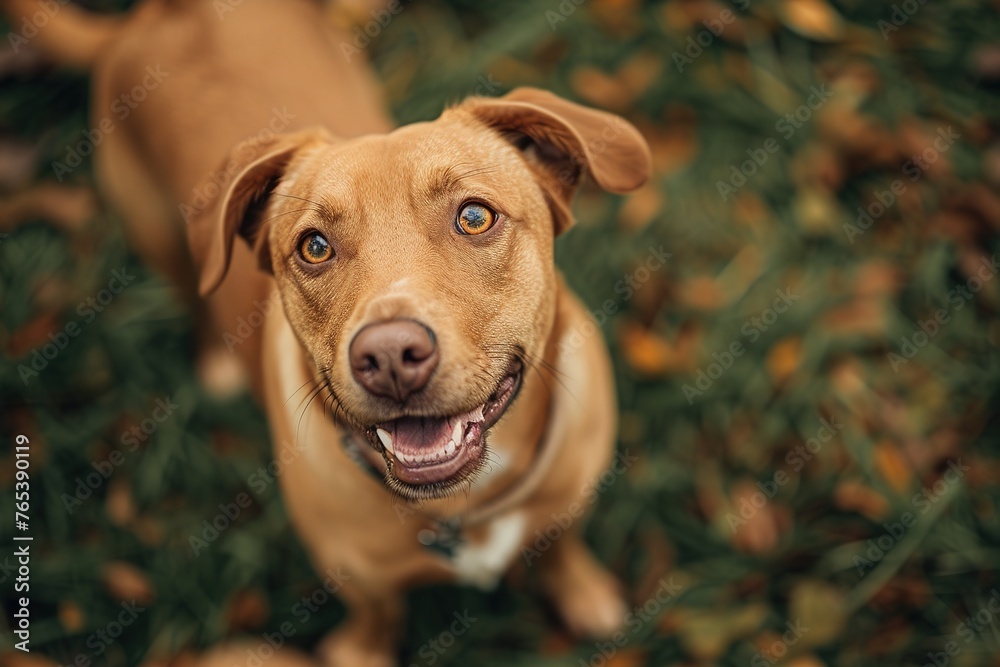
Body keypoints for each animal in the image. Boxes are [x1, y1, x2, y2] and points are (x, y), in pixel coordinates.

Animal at [7, 2, 656, 664]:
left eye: (475, 217)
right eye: (314, 247)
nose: (390, 355)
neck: (464, 507)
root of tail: (155, 17)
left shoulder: (569, 495)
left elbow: (561, 544)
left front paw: (583, 593)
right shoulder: (361, 582)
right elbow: (375, 617)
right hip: (159, 233)